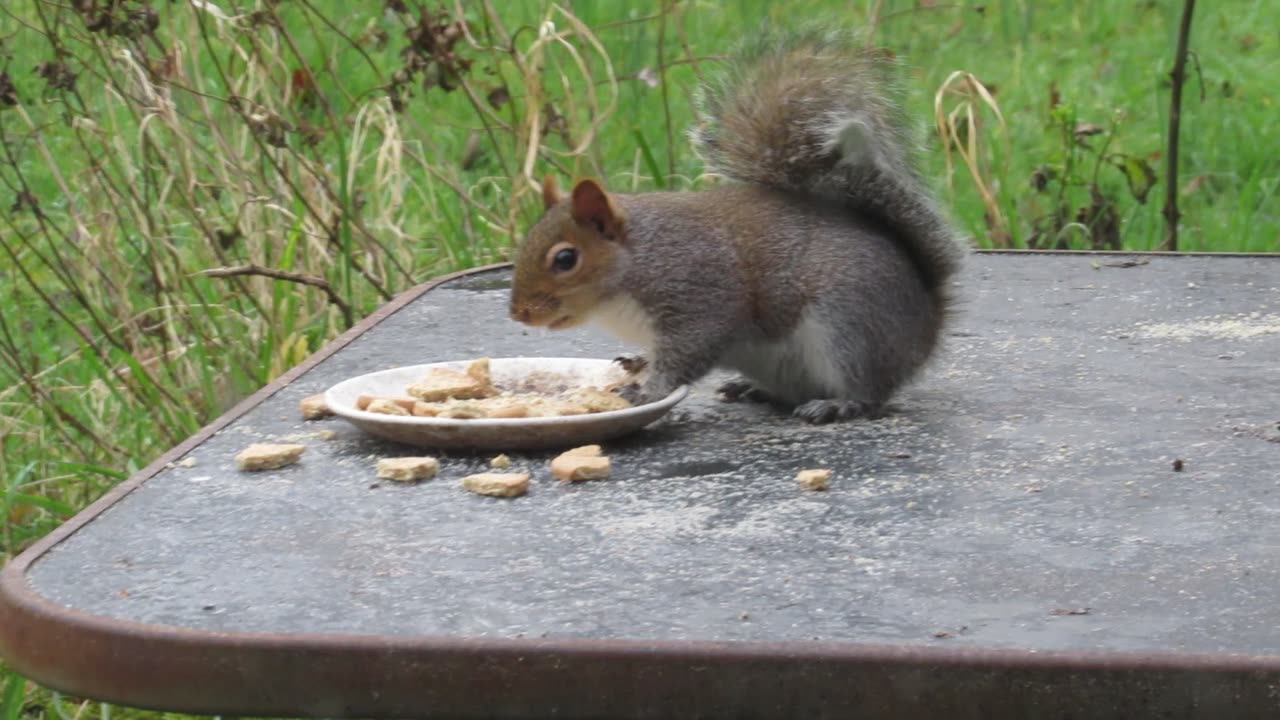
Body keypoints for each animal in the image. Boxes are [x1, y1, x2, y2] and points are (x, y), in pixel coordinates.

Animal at [508, 30, 968, 424]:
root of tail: (927, 324)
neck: (637, 261)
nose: (519, 313)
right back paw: (754, 390)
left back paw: (839, 404)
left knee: (869, 389)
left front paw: (649, 390)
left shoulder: (700, 293)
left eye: (565, 259)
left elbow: (689, 350)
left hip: (851, 325)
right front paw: (637, 364)